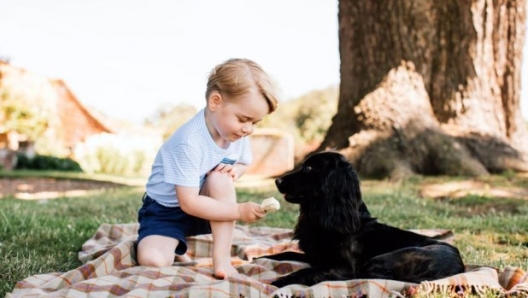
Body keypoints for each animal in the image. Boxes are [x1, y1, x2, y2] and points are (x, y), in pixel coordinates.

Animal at [262, 151, 464, 286]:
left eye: (309, 168)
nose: (277, 181)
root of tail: (460, 267)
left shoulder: (344, 267)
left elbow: (309, 270)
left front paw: (279, 281)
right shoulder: (315, 257)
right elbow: (284, 254)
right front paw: (260, 258)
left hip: (381, 260)